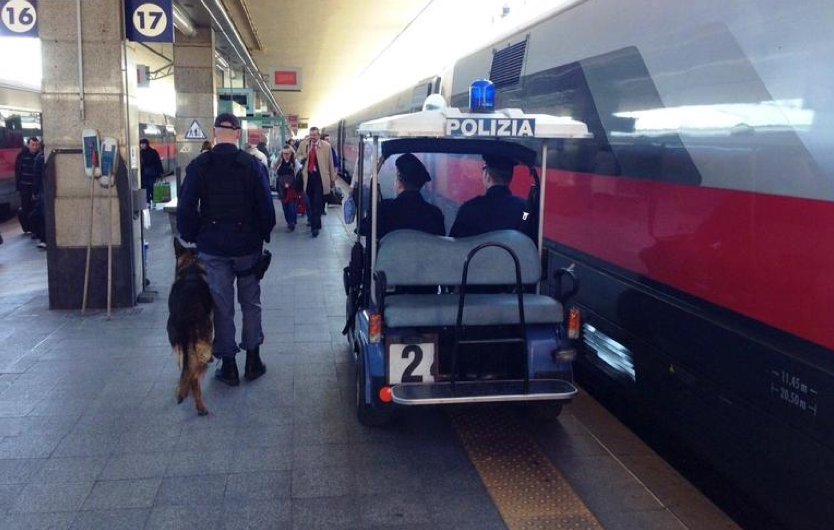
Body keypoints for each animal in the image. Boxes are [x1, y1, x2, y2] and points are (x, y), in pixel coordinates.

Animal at [167, 237, 213, 414]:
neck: (190, 265)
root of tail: (184, 316)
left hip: (178, 346)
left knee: (186, 369)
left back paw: (182, 390)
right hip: (205, 342)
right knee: (194, 375)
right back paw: (200, 407)